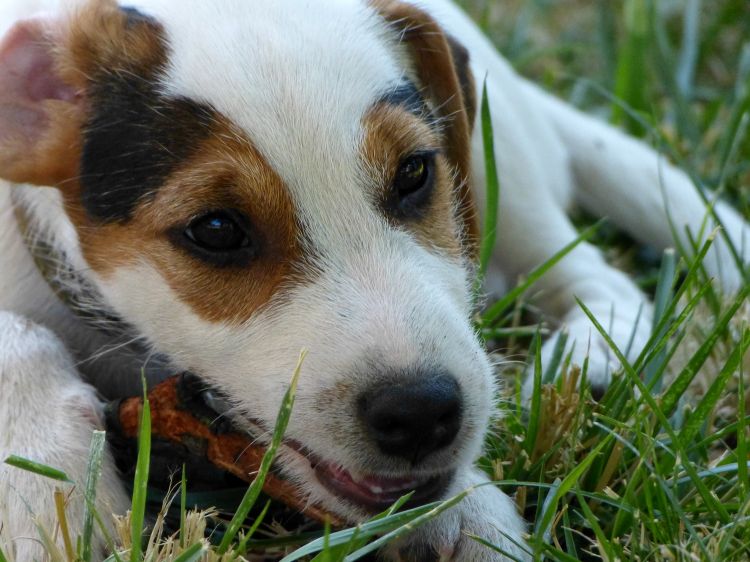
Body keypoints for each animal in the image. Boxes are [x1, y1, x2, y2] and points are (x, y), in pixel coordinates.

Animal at [0, 0, 748, 556]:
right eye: (215, 229)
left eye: (414, 172)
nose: (423, 411)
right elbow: (20, 334)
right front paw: (45, 490)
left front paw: (469, 514)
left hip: (508, 169)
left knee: (594, 275)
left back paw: (584, 361)